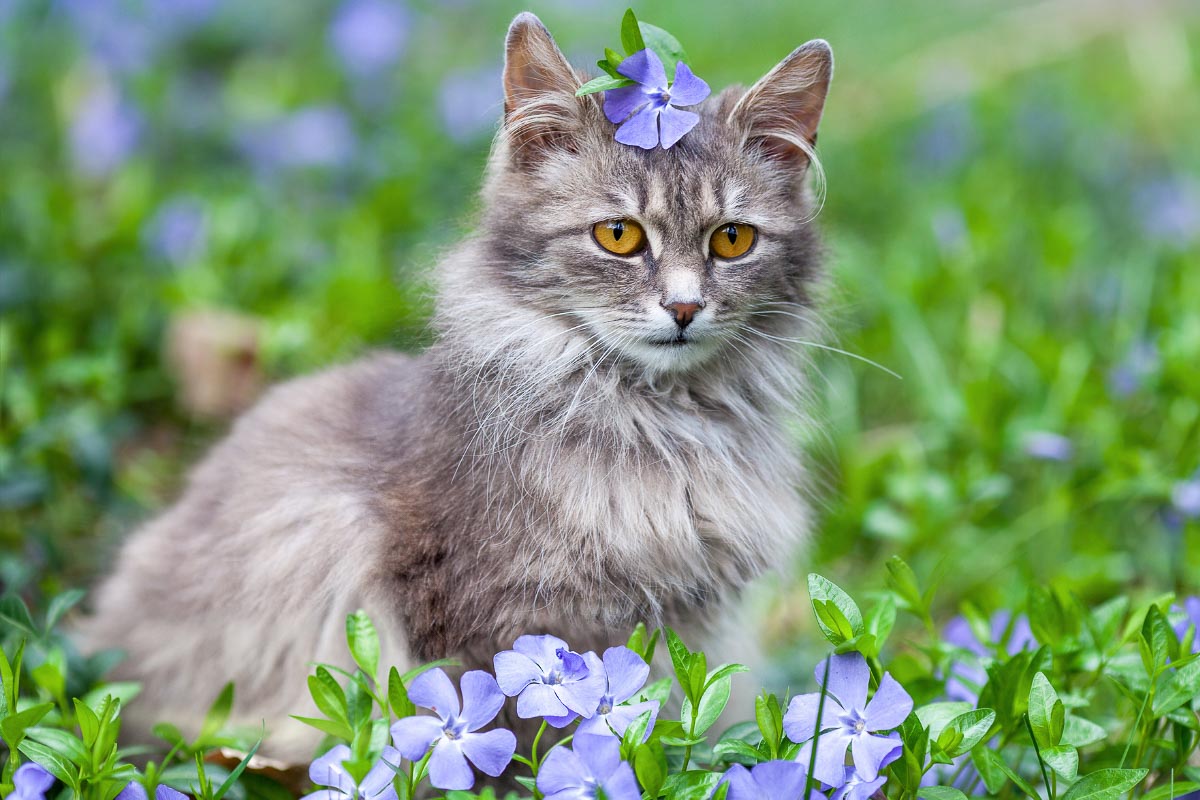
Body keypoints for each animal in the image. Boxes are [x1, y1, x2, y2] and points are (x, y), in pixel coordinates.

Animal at [82, 10, 835, 762]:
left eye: (732, 241)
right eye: (618, 236)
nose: (683, 308)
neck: (661, 424)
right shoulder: (486, 621)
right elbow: (519, 747)